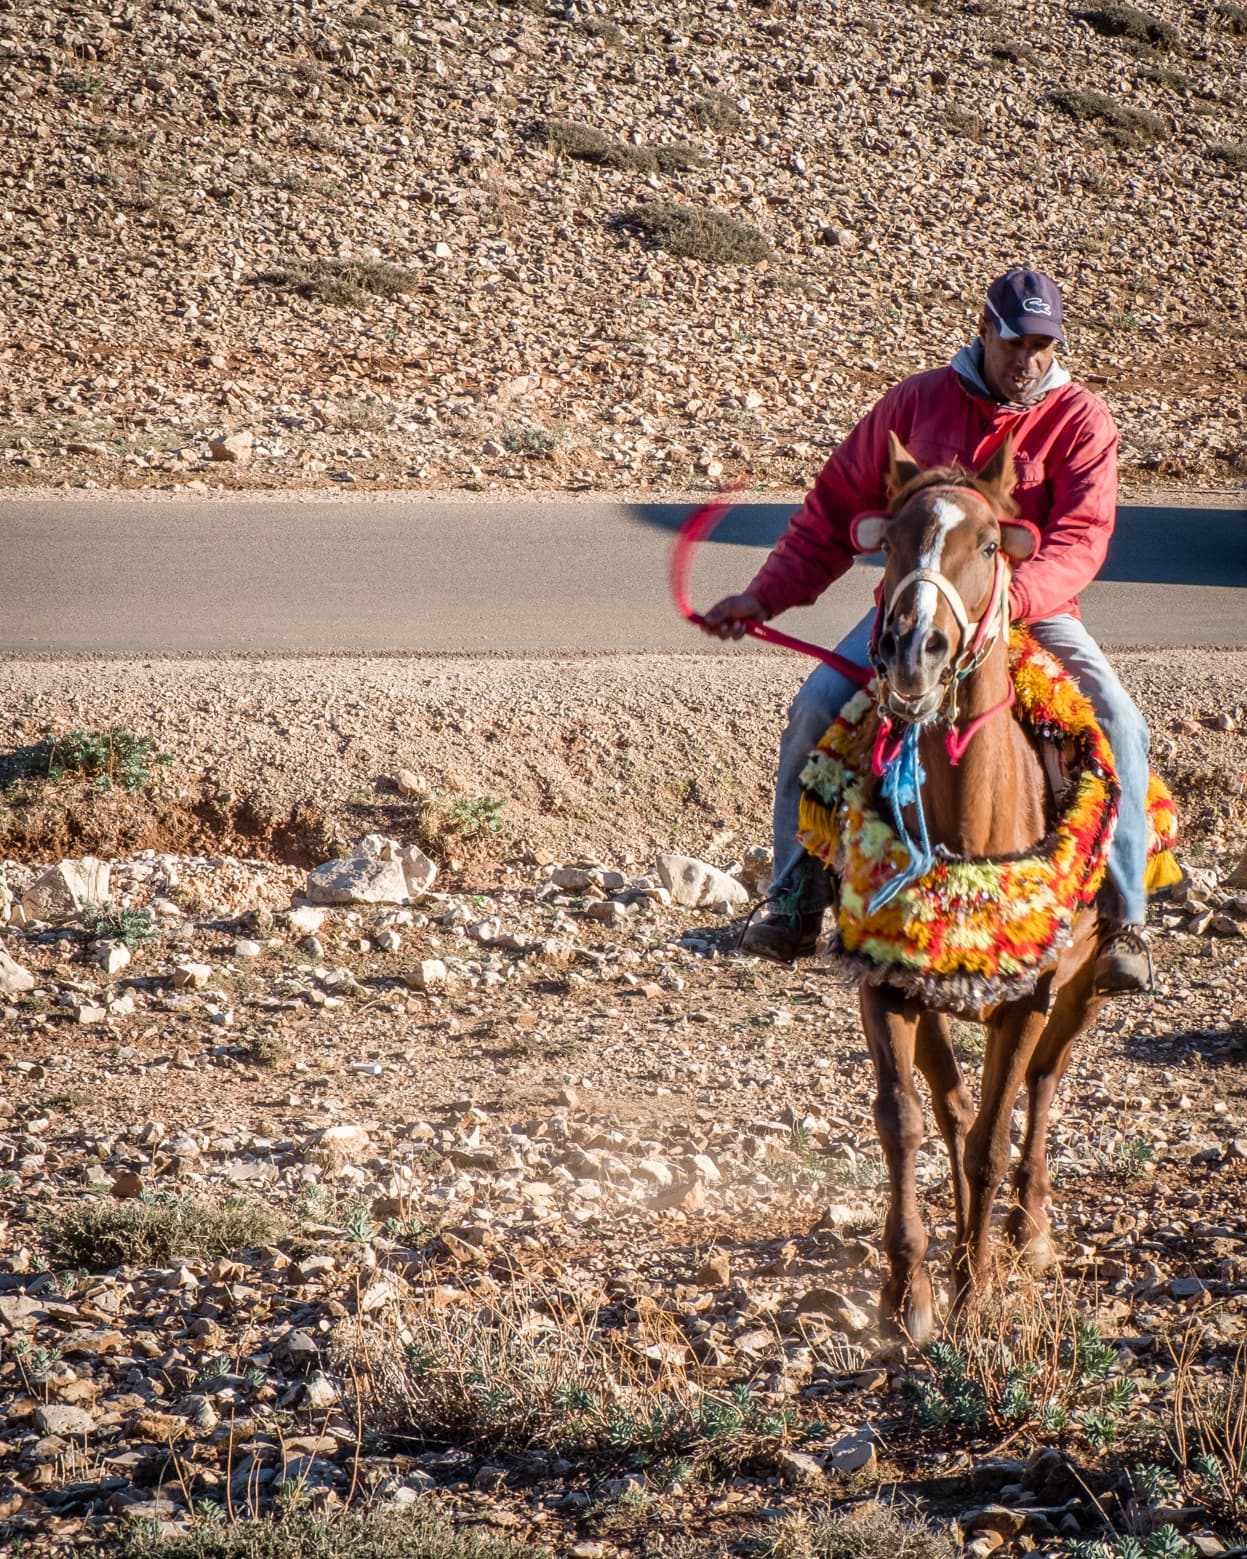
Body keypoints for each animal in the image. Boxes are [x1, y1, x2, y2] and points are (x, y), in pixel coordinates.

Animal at [835, 436, 1103, 1340]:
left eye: (990, 545)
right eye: (886, 541)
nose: (911, 645)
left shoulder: (1030, 995)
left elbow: (992, 1134)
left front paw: (974, 1289)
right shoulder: (887, 984)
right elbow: (903, 1121)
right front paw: (909, 1295)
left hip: (1085, 985)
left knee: (1039, 1087)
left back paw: (1029, 1228)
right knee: (953, 1109)